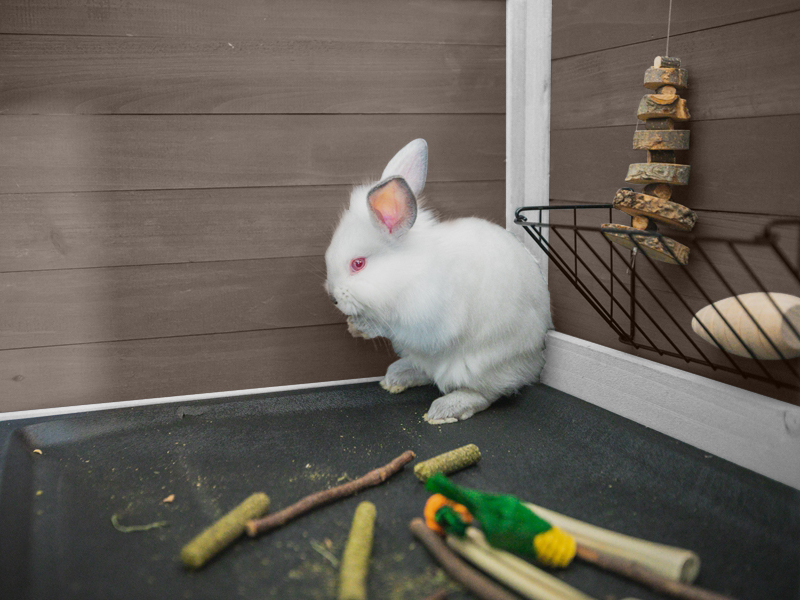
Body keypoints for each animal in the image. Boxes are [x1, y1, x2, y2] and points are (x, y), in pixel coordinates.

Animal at [324, 139, 552, 424]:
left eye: (358, 264)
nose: (333, 297)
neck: (405, 272)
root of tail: (536, 362)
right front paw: (353, 325)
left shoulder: (422, 320)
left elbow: (393, 326)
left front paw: (360, 326)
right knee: (428, 371)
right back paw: (396, 377)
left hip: (484, 365)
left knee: (486, 393)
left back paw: (445, 409)